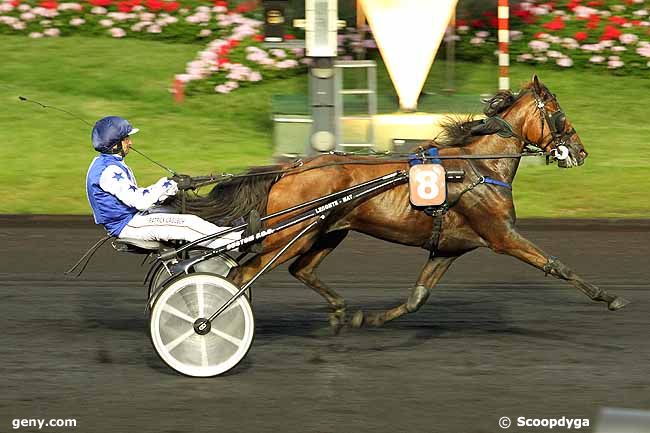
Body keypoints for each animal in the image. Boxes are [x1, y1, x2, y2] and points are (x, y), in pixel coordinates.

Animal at [182, 76, 628, 330]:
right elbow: (557, 265)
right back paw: (212, 321)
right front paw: (609, 297)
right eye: (559, 113)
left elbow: (416, 298)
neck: (479, 166)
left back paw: (339, 310)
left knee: (300, 270)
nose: (580, 151)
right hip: (291, 233)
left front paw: (369, 317)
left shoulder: (449, 247)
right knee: (241, 274)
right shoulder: (501, 235)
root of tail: (290, 168)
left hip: (327, 232)